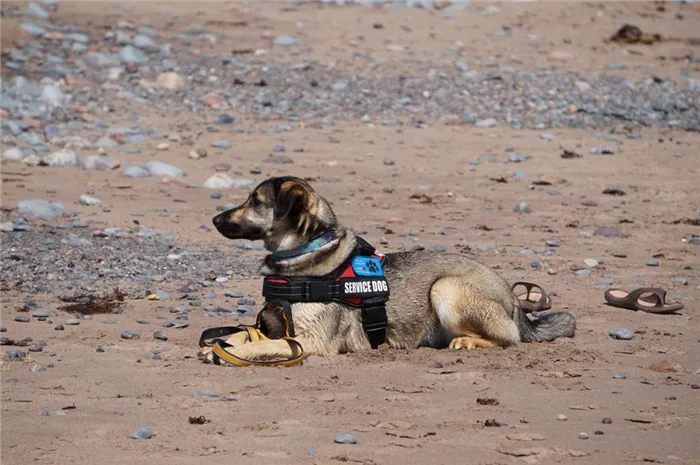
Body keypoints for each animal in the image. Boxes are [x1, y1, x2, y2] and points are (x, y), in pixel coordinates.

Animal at [200, 175, 576, 362]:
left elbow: (262, 345)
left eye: (256, 201)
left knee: (509, 338)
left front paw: (231, 352)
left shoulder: (311, 341)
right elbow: (244, 333)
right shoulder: (275, 325)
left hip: (447, 288)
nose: (214, 219)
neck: (306, 254)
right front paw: (221, 342)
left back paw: (468, 343)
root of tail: (515, 303)